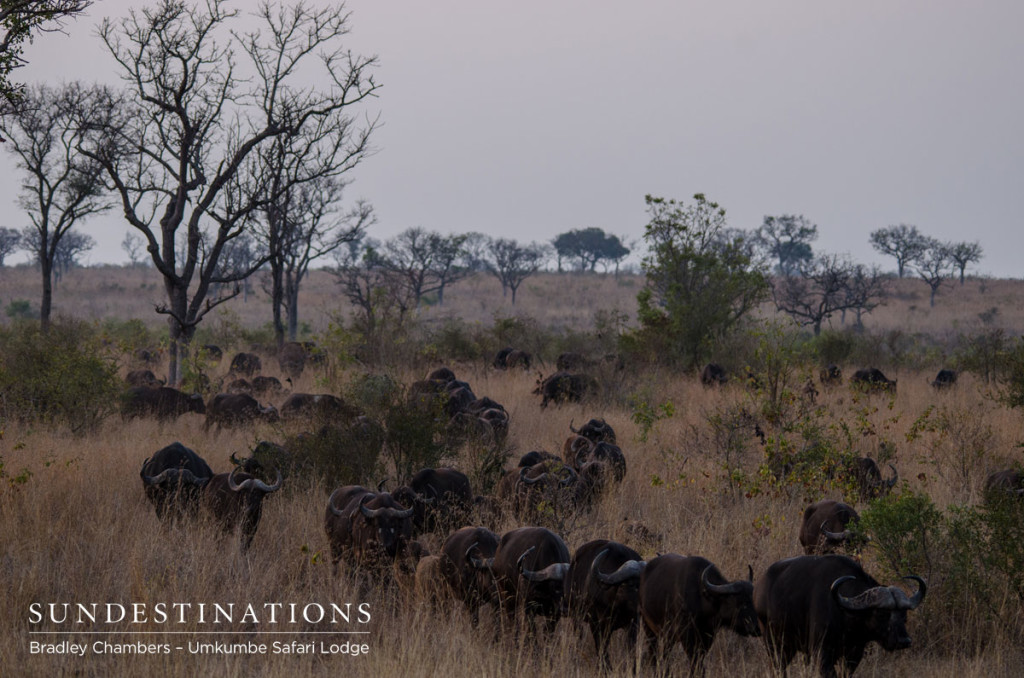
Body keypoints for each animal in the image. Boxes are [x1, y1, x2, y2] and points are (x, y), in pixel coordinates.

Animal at [753, 557, 929, 678]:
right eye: (882, 613)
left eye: (904, 615)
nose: (904, 641)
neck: (846, 617)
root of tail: (759, 588)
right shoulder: (822, 654)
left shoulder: (854, 654)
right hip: (773, 644)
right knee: (778, 668)